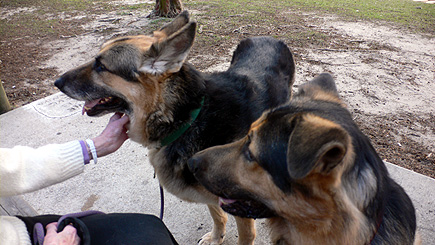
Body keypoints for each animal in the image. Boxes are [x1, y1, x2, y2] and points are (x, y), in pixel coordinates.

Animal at [52, 11, 294, 243]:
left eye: (101, 66)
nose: (57, 82)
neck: (188, 120)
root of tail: (267, 37)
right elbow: (216, 214)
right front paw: (216, 237)